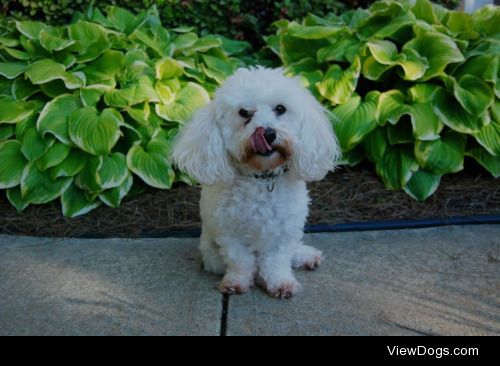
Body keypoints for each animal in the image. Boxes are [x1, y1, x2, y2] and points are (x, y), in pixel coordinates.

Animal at [172, 67, 340, 298]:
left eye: (280, 108)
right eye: (244, 113)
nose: (267, 133)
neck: (262, 178)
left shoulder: (285, 231)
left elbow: (277, 261)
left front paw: (281, 283)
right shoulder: (229, 233)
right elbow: (240, 261)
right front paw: (236, 282)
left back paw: (305, 256)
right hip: (211, 256)